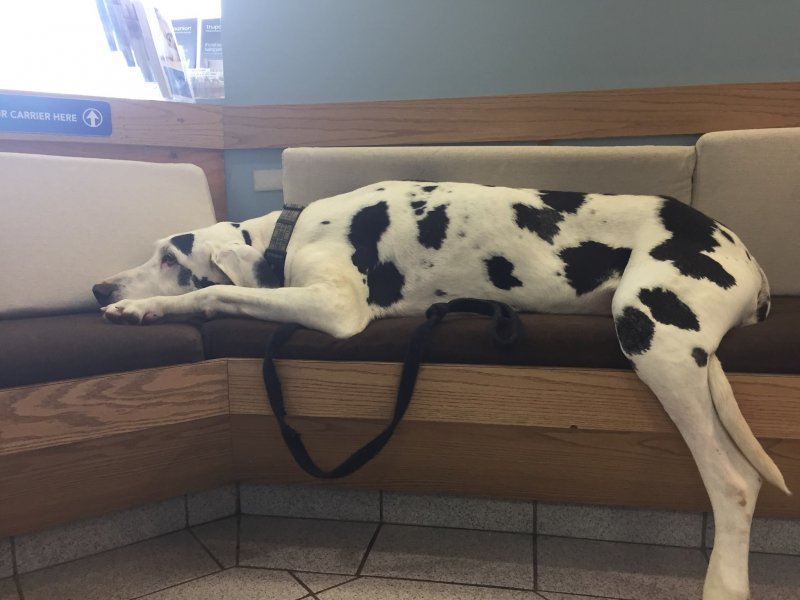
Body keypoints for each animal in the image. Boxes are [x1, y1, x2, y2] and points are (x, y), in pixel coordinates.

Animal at [93, 180, 789, 600]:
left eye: (169, 260)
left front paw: (146, 309)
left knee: (733, 482)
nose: (100, 288)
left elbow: (214, 293)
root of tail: (748, 259)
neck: (292, 232)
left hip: (653, 333)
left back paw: (724, 583)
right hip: (682, 350)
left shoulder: (336, 307)